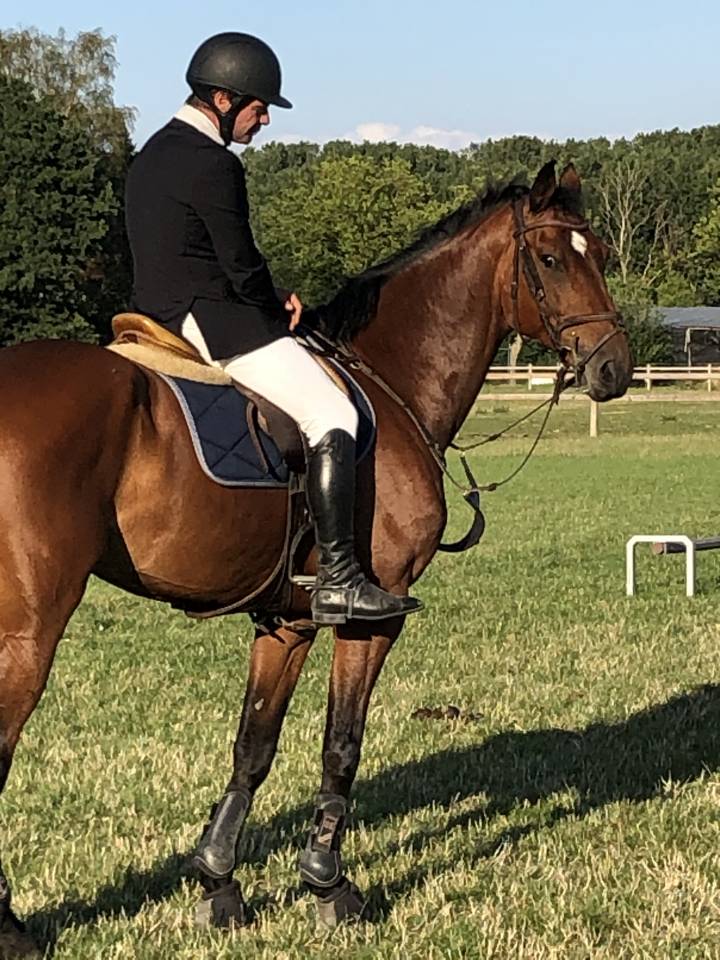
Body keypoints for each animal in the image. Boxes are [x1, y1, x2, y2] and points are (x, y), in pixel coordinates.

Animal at [0, 160, 632, 953]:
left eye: (599, 254)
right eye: (550, 260)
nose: (614, 369)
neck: (392, 382)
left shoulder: (288, 623)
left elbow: (254, 746)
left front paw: (220, 885)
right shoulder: (373, 618)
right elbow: (342, 745)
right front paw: (329, 886)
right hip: (29, 634)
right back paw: (13, 930)